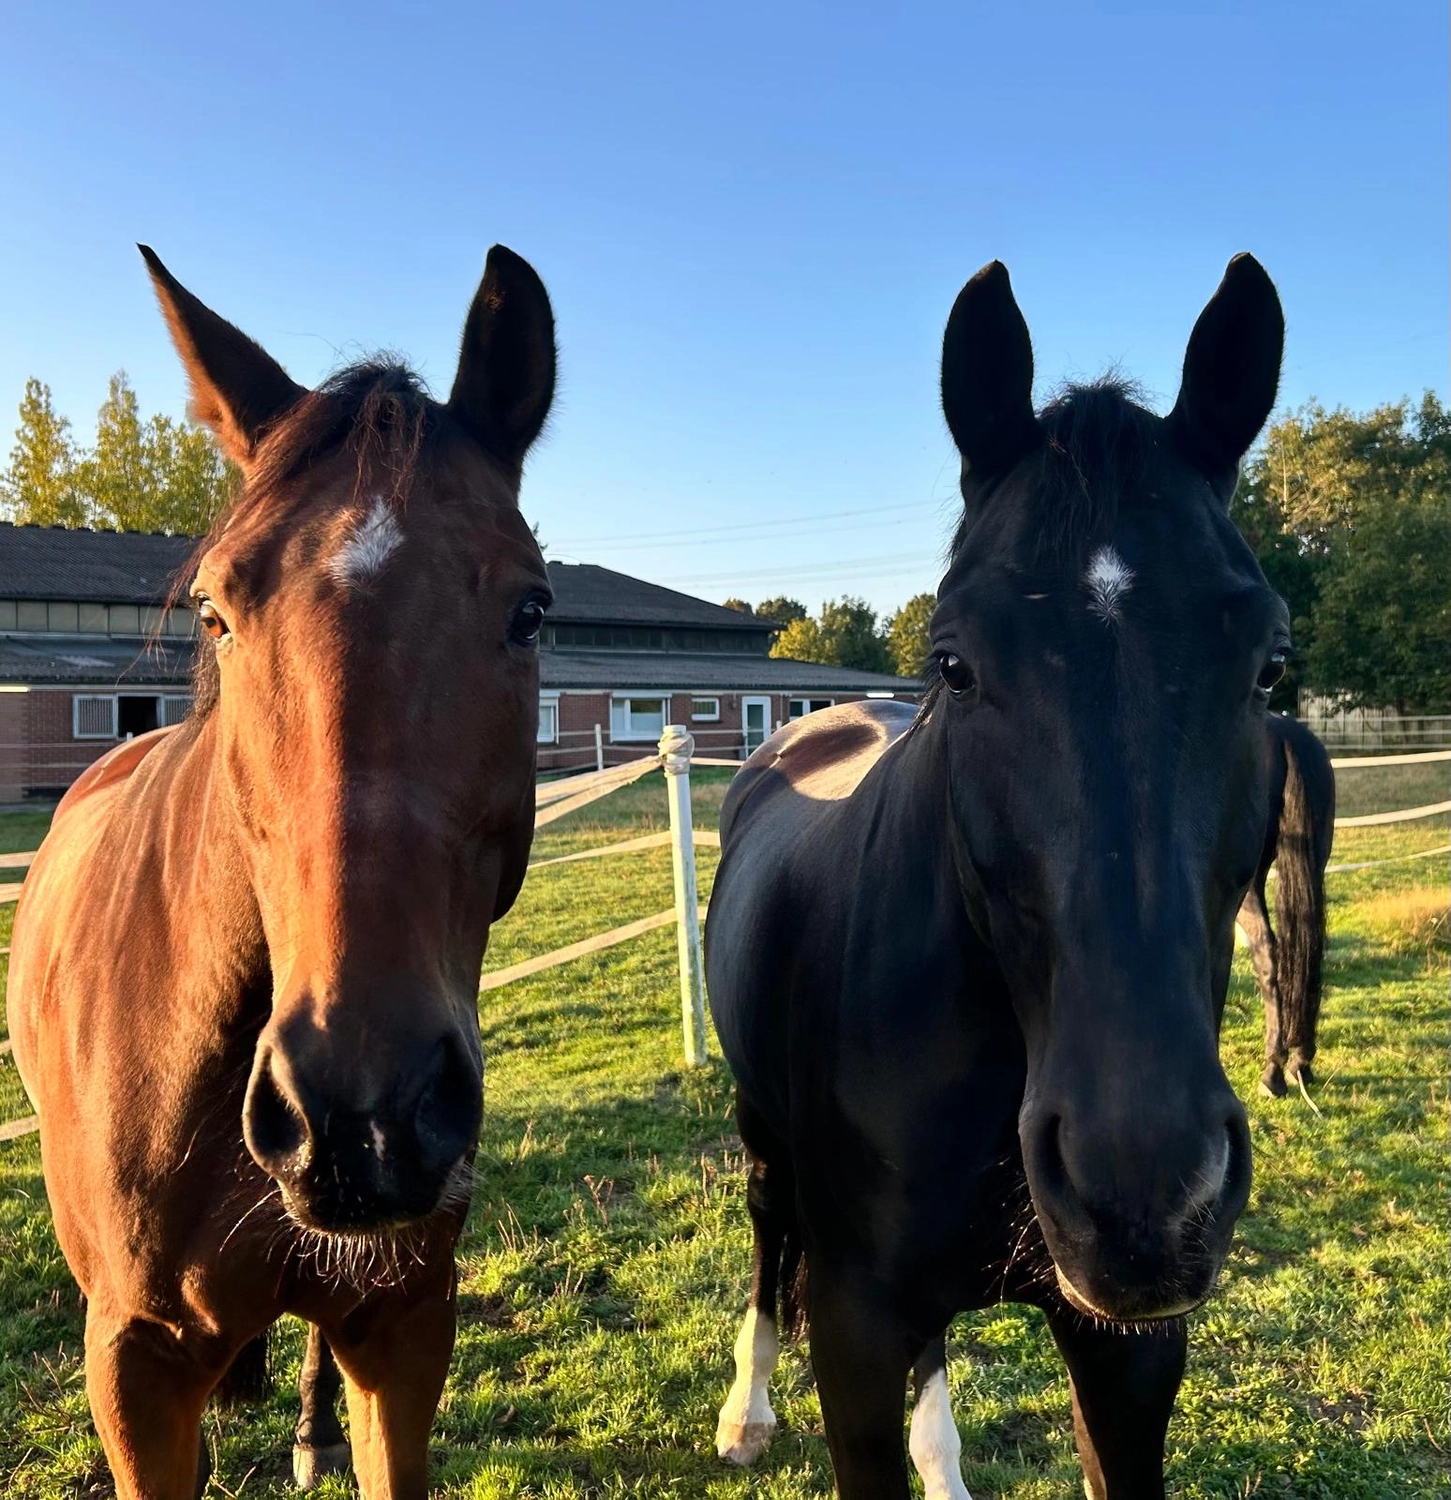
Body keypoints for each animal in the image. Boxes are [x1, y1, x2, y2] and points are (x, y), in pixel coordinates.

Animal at [705, 254, 1289, 1498]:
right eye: (954, 662)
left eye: (1269, 662)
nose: (1140, 1193)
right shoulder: (852, 1331)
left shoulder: (1126, 1351)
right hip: (762, 1140)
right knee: (766, 1238)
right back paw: (744, 1410)